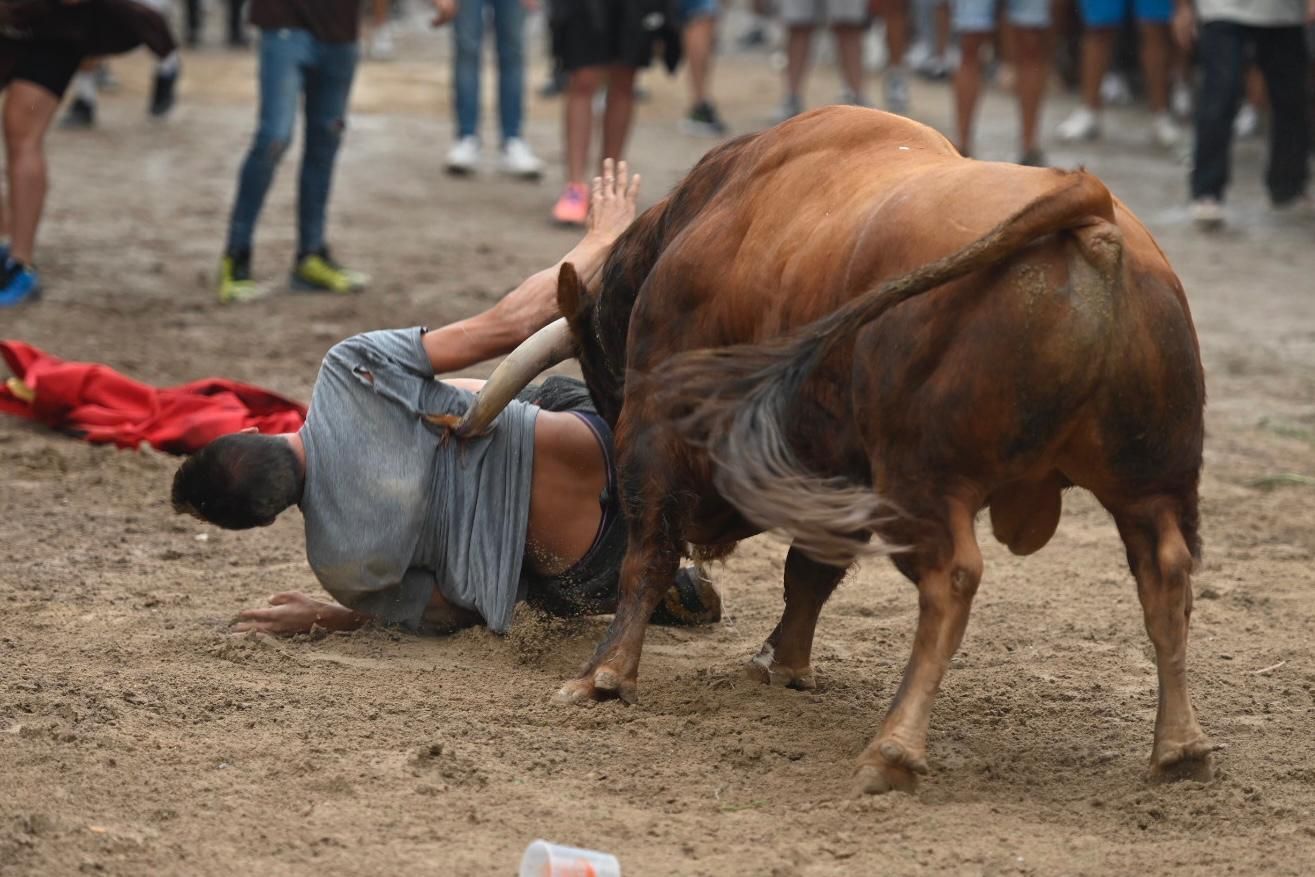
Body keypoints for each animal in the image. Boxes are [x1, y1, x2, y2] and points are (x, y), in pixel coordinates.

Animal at [462, 107, 1209, 794]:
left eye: (605, 384)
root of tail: (1091, 210)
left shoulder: (653, 429)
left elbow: (648, 557)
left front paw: (604, 676)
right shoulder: (838, 474)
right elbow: (808, 571)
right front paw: (782, 663)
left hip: (923, 483)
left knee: (952, 579)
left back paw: (893, 747)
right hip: (1148, 483)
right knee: (1165, 573)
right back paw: (1179, 748)